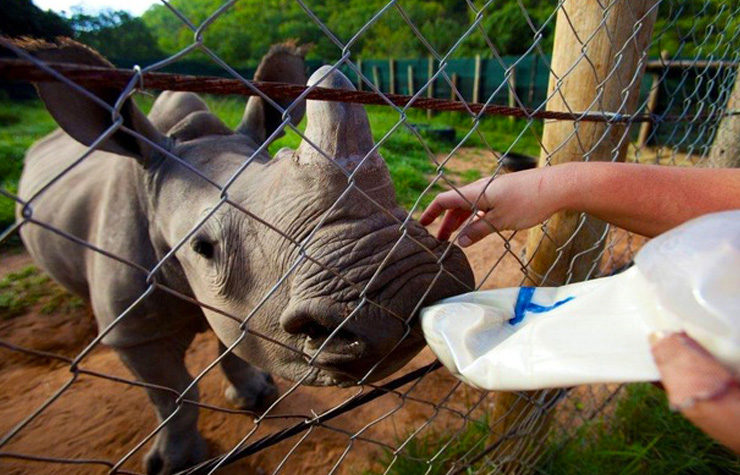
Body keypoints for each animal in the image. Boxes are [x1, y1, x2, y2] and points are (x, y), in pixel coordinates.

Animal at [15, 39, 474, 474]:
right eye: (202, 247)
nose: (411, 285)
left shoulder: (236, 303)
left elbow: (231, 343)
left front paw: (255, 395)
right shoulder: (135, 332)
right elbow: (173, 396)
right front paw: (175, 463)